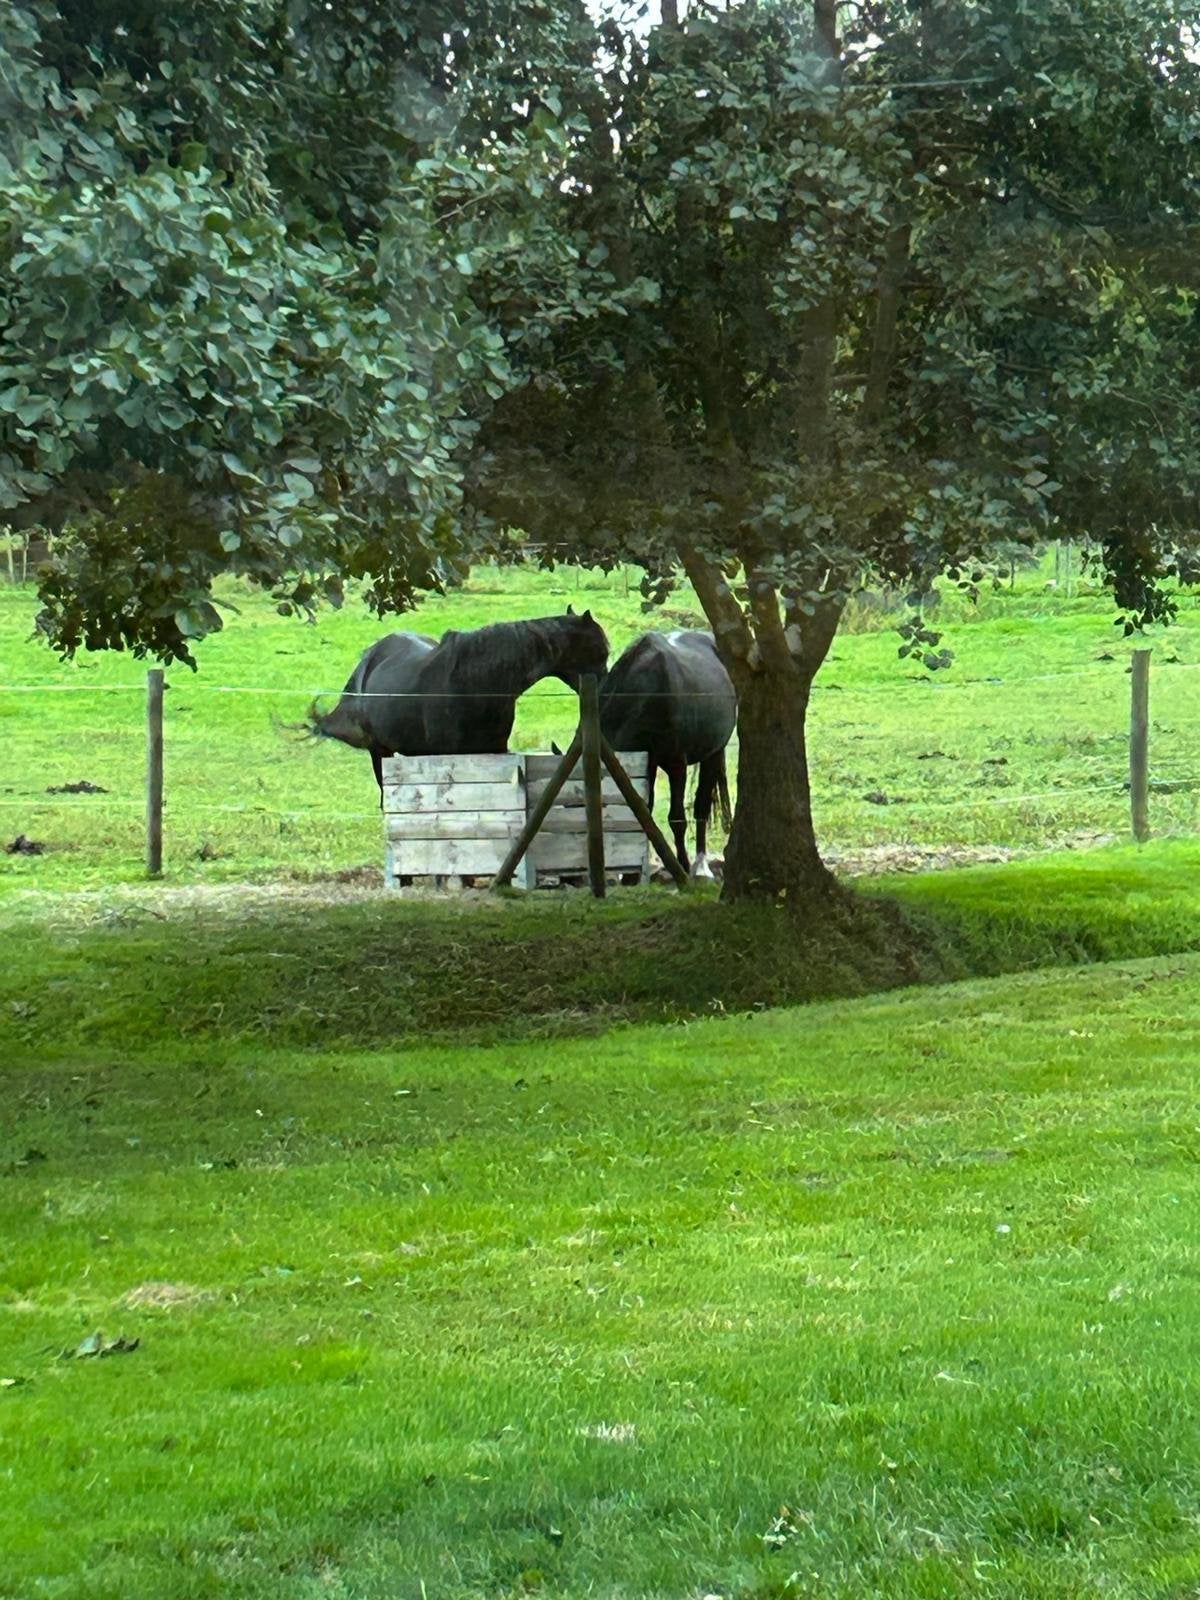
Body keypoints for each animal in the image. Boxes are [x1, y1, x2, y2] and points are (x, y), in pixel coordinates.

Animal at [309, 608, 610, 795]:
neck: (475, 685)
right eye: (601, 650)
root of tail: (371, 655)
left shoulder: (495, 750)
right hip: (379, 751)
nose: (607, 688)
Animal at [599, 630, 737, 877]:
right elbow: (646, 812)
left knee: (701, 804)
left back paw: (700, 865)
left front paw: (680, 865)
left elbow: (677, 817)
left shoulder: (676, 765)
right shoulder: (647, 764)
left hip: (713, 754)